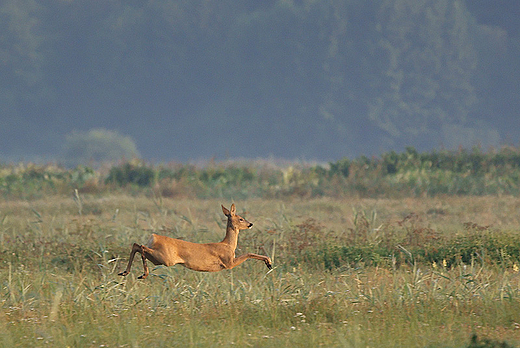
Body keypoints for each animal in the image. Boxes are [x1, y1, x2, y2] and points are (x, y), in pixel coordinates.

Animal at [118, 204, 272, 280]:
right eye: (241, 218)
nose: (250, 224)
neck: (228, 245)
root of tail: (153, 237)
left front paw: (268, 263)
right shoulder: (228, 262)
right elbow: (248, 254)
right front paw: (269, 262)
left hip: (158, 259)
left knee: (136, 245)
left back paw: (125, 272)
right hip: (165, 258)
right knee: (141, 246)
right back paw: (143, 274)